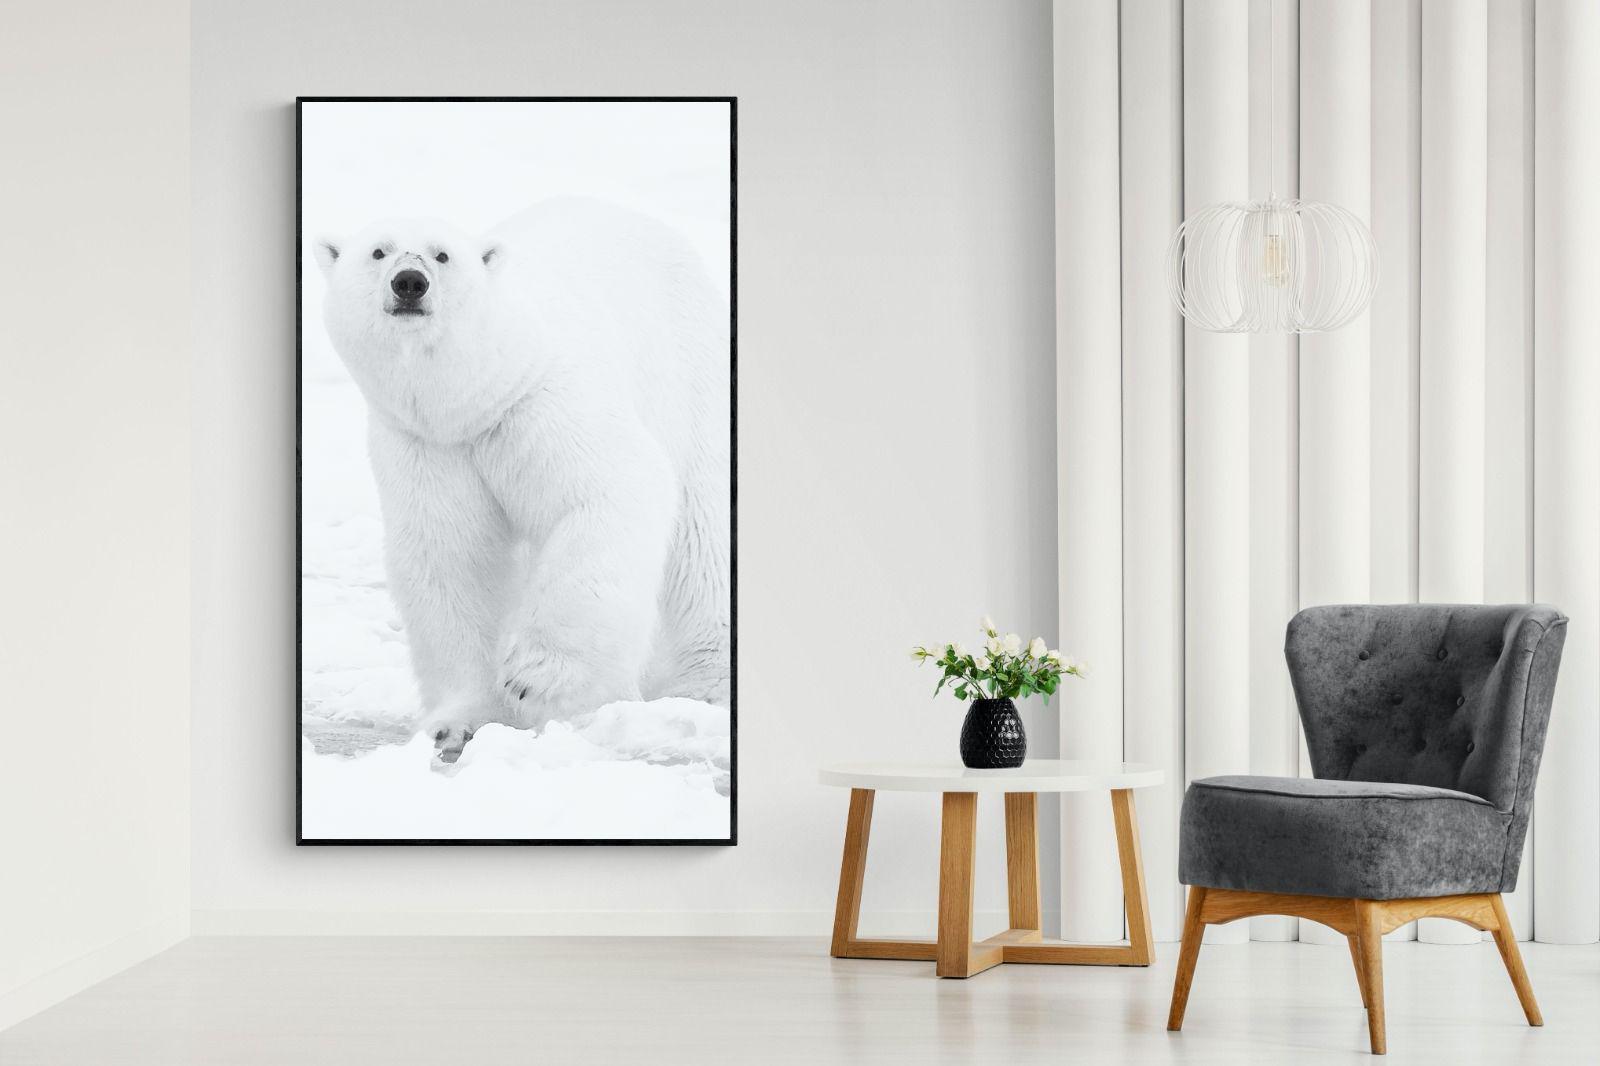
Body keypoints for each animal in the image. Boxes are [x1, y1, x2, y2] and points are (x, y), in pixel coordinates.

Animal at [313, 197, 731, 762]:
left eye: (442, 255)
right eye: (378, 251)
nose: (409, 283)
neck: (476, 398)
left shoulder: (539, 403)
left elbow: (609, 488)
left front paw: (537, 678)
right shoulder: (428, 445)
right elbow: (451, 557)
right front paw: (457, 722)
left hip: (692, 375)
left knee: (704, 531)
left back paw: (706, 685)